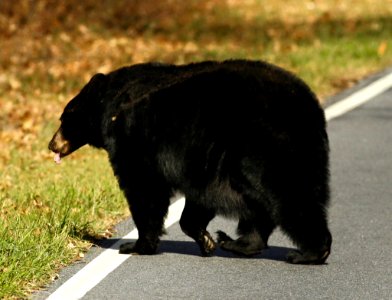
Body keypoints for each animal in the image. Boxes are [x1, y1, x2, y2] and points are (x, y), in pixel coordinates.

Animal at [48, 59, 330, 264]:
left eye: (64, 118)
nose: (51, 144)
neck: (112, 107)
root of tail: (306, 104)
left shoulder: (136, 140)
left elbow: (145, 190)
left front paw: (137, 244)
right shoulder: (201, 161)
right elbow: (200, 198)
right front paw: (206, 239)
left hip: (264, 146)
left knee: (289, 196)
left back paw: (309, 252)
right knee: (261, 203)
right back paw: (239, 243)